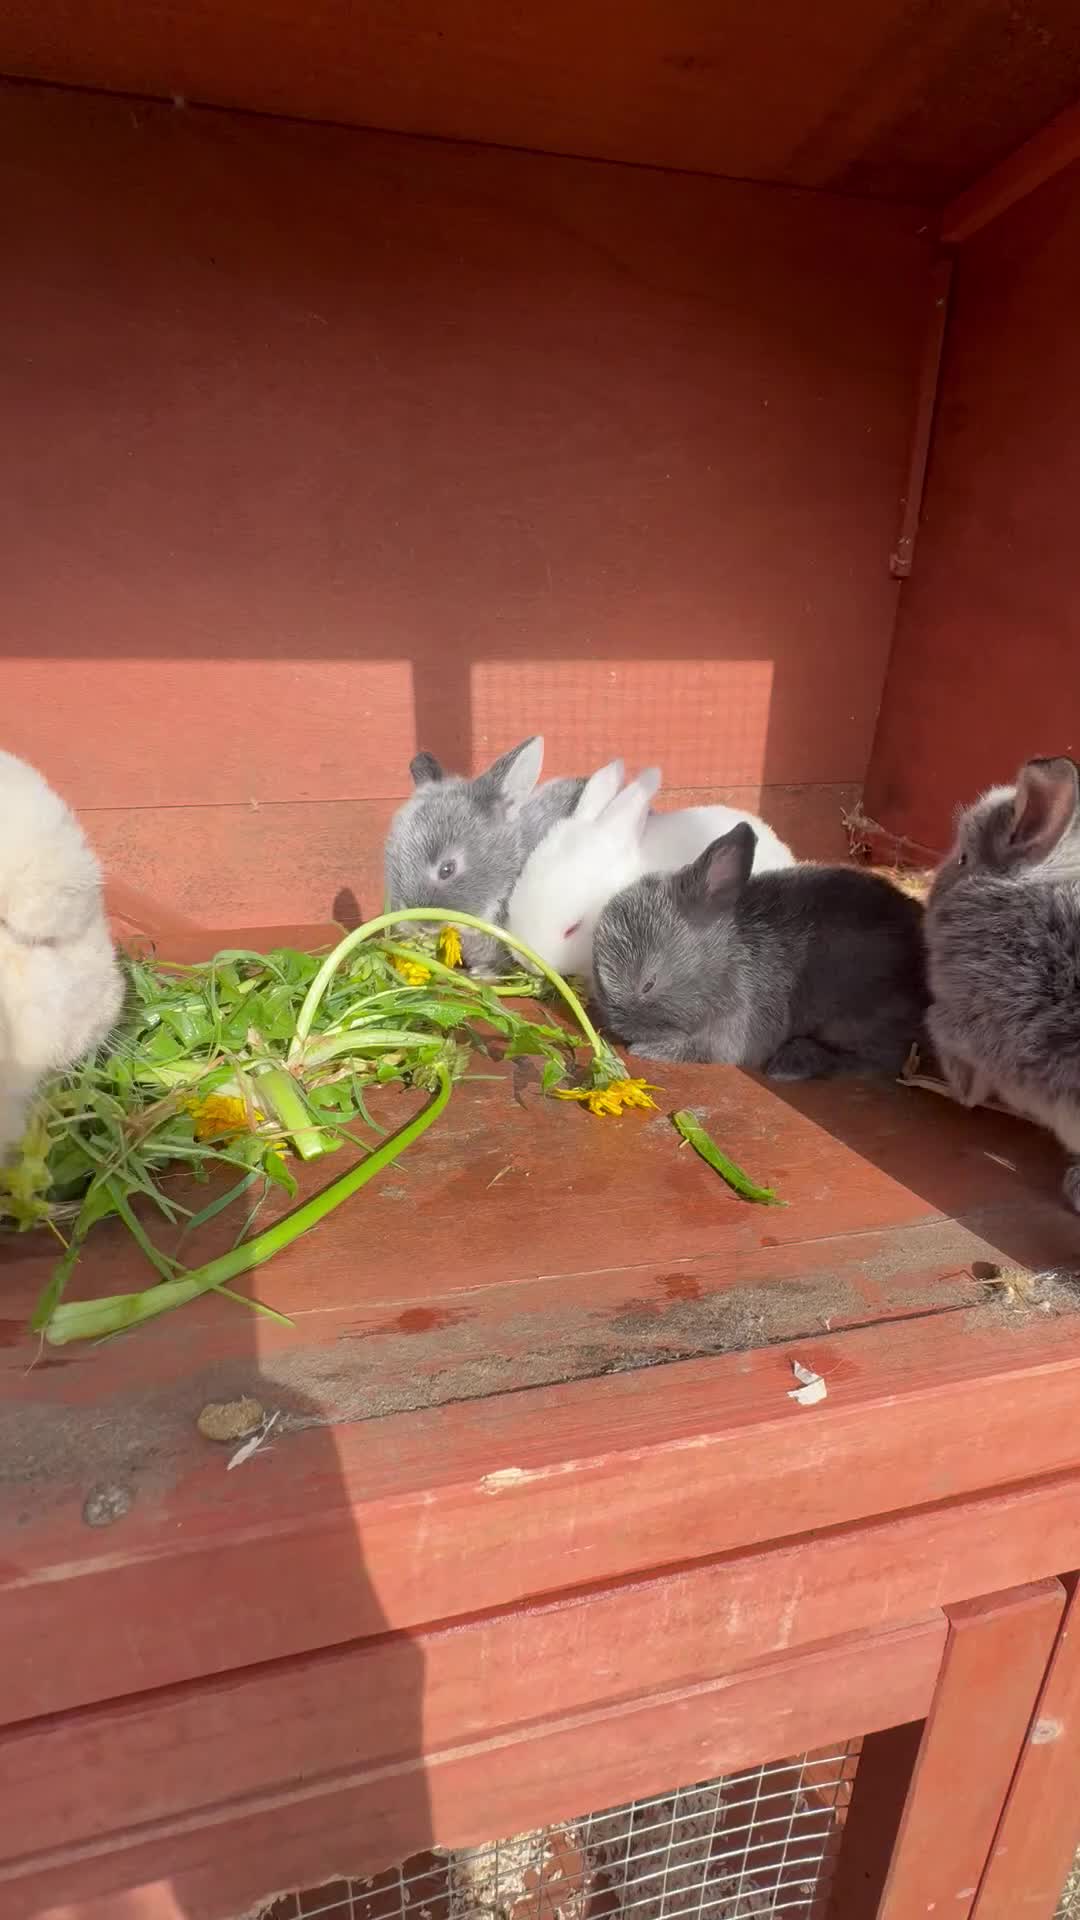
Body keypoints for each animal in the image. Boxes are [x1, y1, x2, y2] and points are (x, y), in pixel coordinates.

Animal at [592, 821, 927, 1074]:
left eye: (649, 983)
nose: (622, 1029)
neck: (724, 961)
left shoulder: (732, 1030)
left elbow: (700, 1050)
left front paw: (645, 1049)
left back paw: (791, 1065)